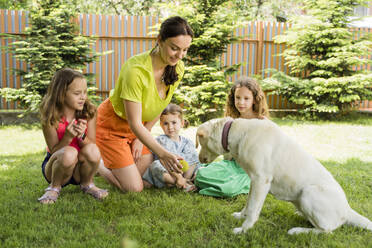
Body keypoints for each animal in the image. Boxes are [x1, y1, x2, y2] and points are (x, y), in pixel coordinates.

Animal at [196, 117, 370, 234]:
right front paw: (240, 216)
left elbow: (253, 209)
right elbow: (248, 203)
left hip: (309, 193)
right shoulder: (254, 182)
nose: (199, 159)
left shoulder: (261, 180)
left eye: (199, 141)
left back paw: (298, 231)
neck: (236, 132)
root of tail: (347, 210)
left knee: (327, 230)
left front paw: (243, 230)